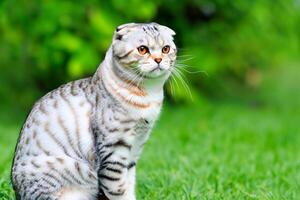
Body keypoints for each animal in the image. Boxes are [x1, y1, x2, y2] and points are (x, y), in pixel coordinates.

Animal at [11, 22, 176, 200]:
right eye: (143, 49)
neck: (148, 95)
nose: (159, 59)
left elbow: (129, 187)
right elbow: (118, 191)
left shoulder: (135, 148)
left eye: (166, 49)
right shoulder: (114, 152)